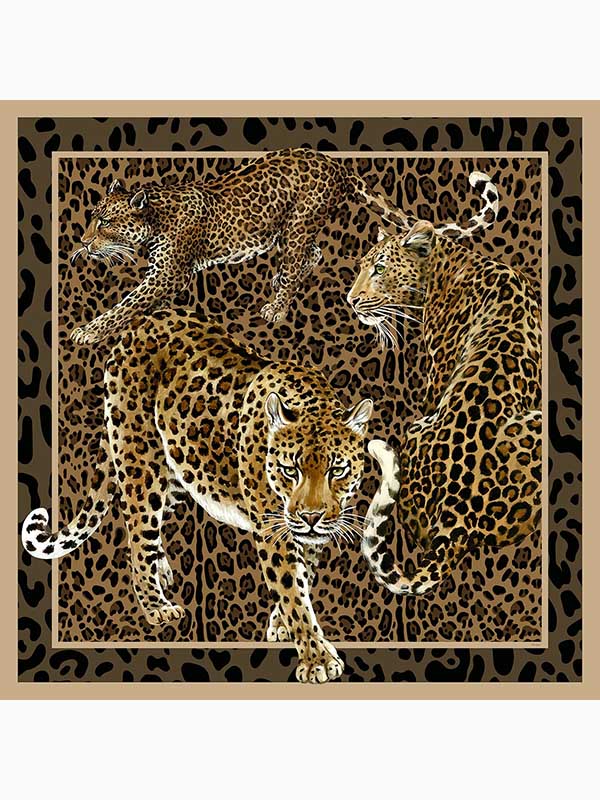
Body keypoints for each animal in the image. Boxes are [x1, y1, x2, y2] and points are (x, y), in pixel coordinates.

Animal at [22, 308, 389, 683]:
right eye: (290, 471)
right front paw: (317, 659)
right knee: (138, 536)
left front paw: (282, 626)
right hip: (140, 463)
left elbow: (302, 577)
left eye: (337, 470)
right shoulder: (273, 530)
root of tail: (144, 322)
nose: (311, 517)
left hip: (178, 470)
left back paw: (162, 569)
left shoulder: (305, 532)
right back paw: (156, 606)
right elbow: (291, 589)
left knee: (153, 528)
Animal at [68, 148, 497, 345]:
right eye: (92, 216)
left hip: (297, 223)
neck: (156, 215)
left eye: (105, 223)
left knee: (300, 261)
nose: (83, 242)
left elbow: (127, 304)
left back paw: (276, 306)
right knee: (312, 255)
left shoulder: (168, 273)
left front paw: (88, 331)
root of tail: (335, 164)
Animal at [348, 218, 542, 595]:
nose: (351, 300)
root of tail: (459, 517)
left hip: (416, 428)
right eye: (362, 266)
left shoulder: (437, 379)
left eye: (380, 268)